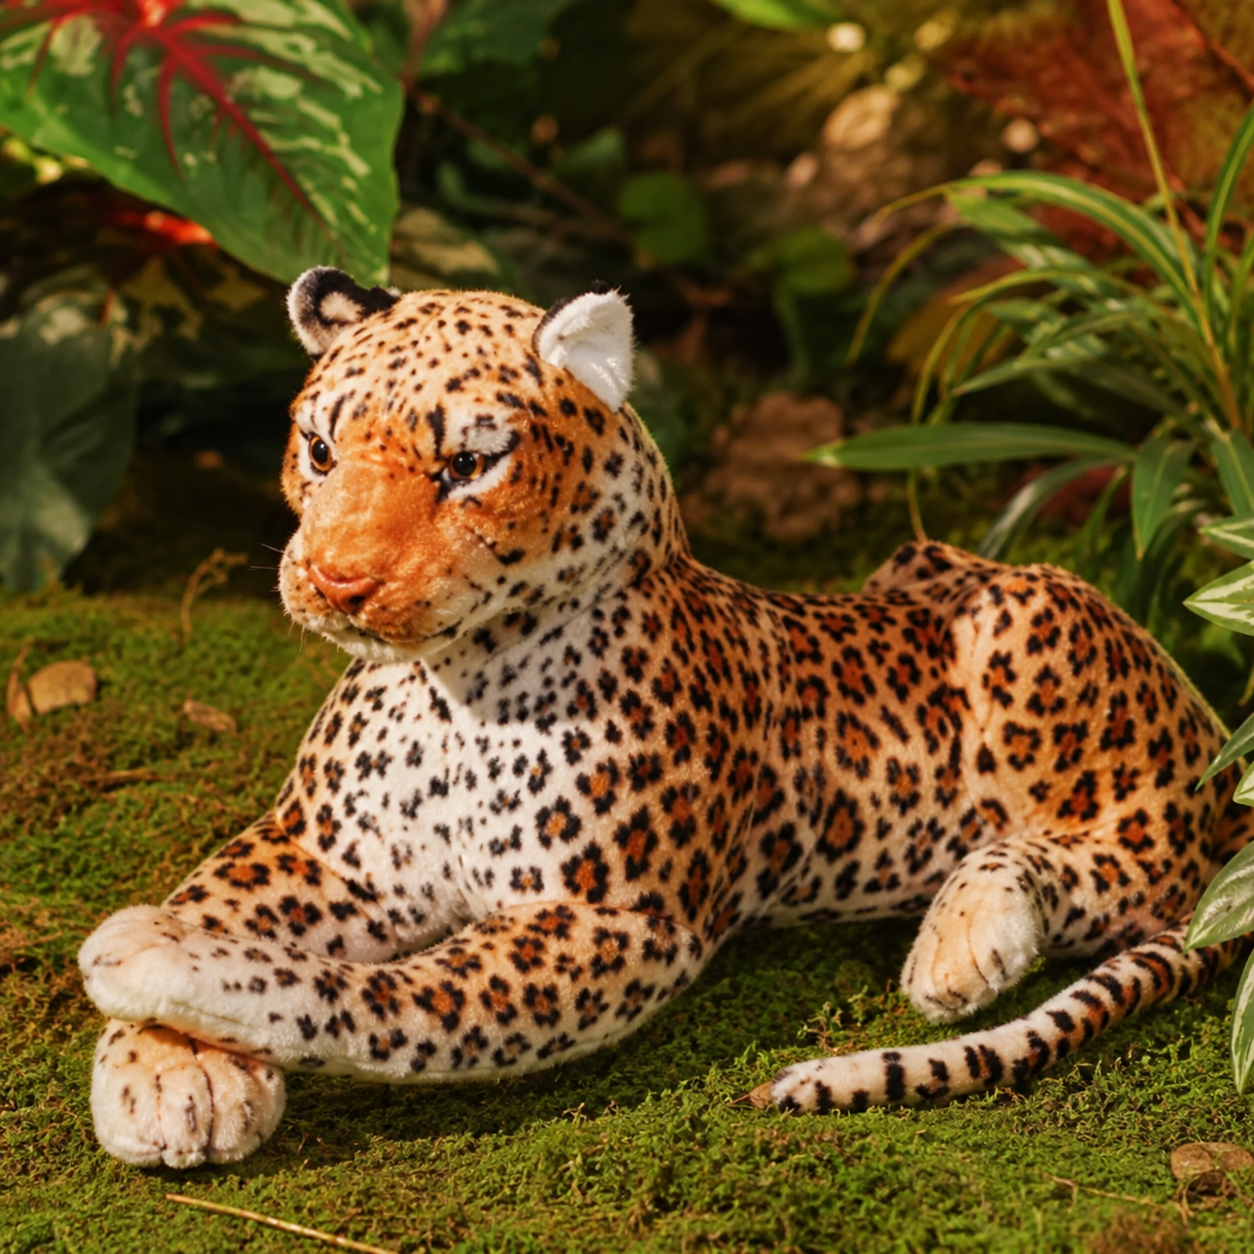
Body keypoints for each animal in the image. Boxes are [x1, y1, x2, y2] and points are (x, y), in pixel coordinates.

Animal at [79, 267, 1252, 1168]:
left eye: (469, 465)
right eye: (318, 450)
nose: (336, 581)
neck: (445, 688)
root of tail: (1219, 747)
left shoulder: (615, 922)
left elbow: (389, 1000)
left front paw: (149, 959)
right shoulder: (326, 849)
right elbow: (220, 895)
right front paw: (167, 1074)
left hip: (1033, 634)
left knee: (1131, 874)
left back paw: (966, 943)